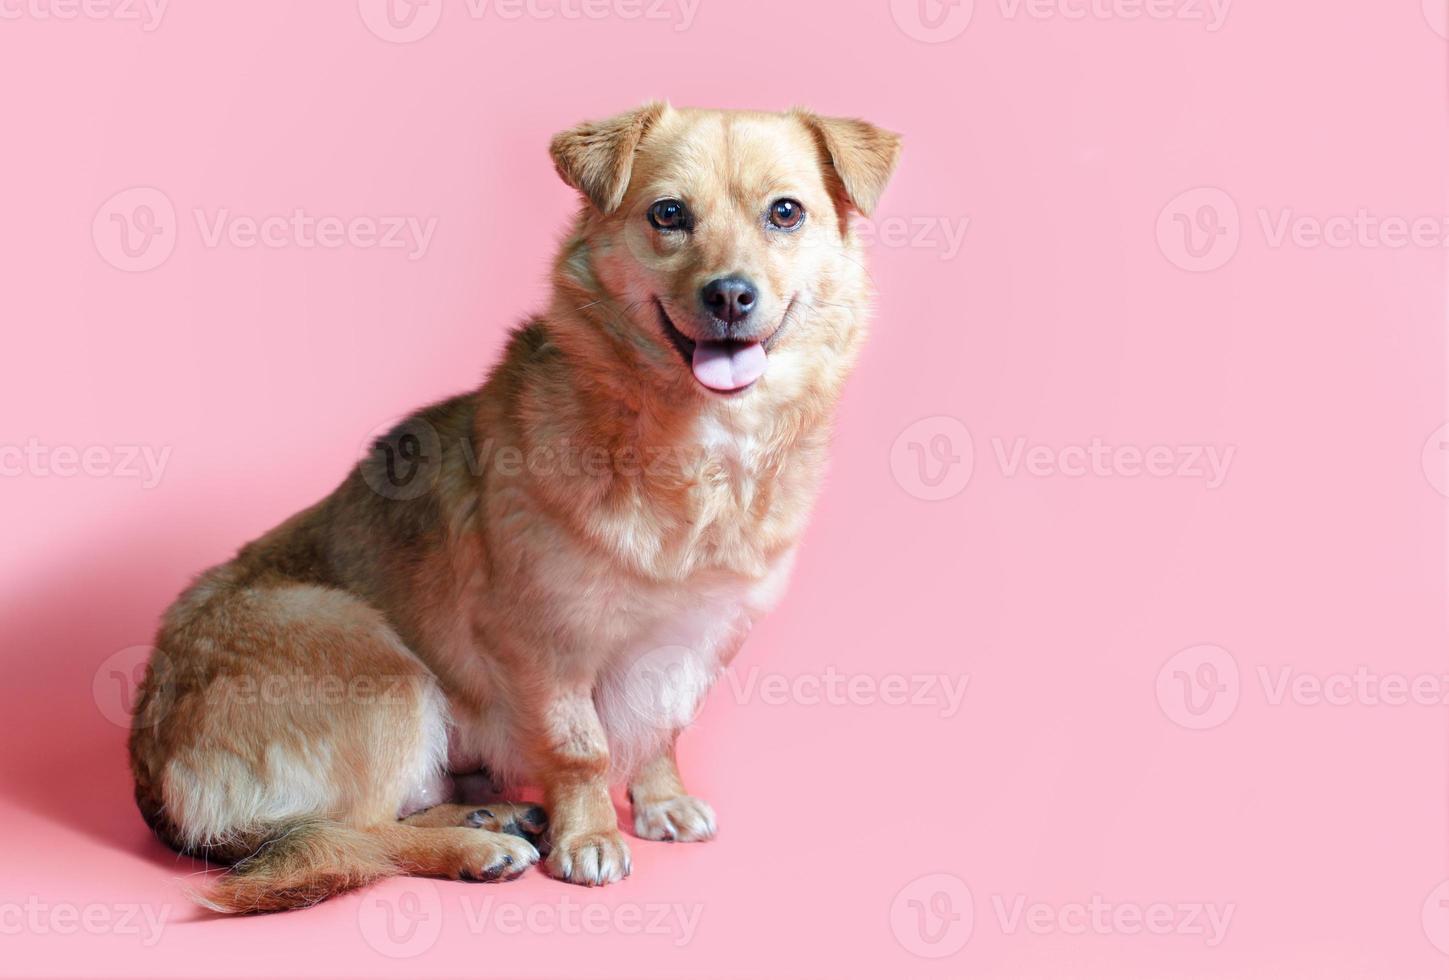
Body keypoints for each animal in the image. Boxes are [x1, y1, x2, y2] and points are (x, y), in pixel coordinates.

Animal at [127, 101, 892, 910]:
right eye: (669, 215)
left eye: (785, 213)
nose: (729, 295)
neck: (689, 443)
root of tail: (158, 785)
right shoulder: (545, 645)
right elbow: (582, 750)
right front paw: (590, 838)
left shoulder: (692, 642)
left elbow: (661, 731)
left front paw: (659, 802)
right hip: (376, 663)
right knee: (353, 833)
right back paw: (476, 846)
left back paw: (490, 811)